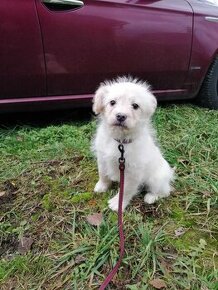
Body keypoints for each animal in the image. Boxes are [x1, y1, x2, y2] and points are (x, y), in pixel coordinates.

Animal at [92, 76, 174, 213]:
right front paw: (102, 186)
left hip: (156, 179)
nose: (121, 116)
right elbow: (103, 174)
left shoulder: (133, 172)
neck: (121, 142)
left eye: (135, 105)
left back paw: (151, 197)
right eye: (112, 102)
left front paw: (117, 203)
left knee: (165, 191)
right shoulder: (102, 158)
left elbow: (125, 190)